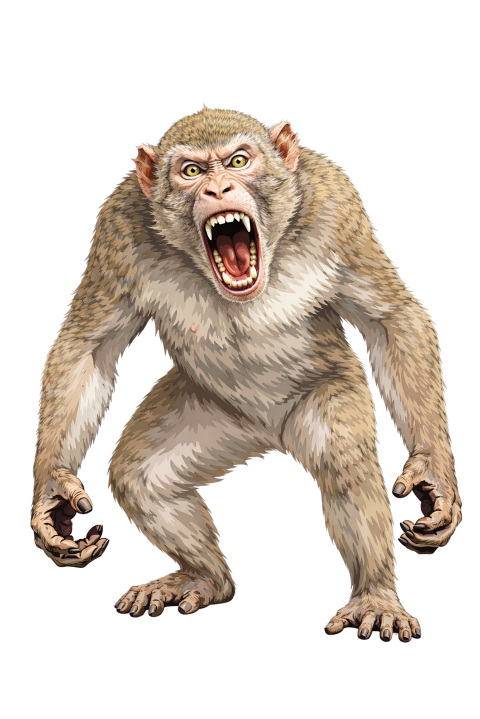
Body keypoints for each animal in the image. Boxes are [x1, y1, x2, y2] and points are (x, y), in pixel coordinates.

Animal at [31, 107, 461, 641]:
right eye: (191, 171)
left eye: (239, 160)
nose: (218, 189)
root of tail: (270, 434)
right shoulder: (117, 230)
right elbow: (87, 350)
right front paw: (52, 493)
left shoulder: (338, 205)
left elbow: (392, 321)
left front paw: (434, 471)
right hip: (215, 414)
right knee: (142, 478)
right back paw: (206, 577)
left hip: (326, 389)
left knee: (343, 464)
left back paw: (374, 593)